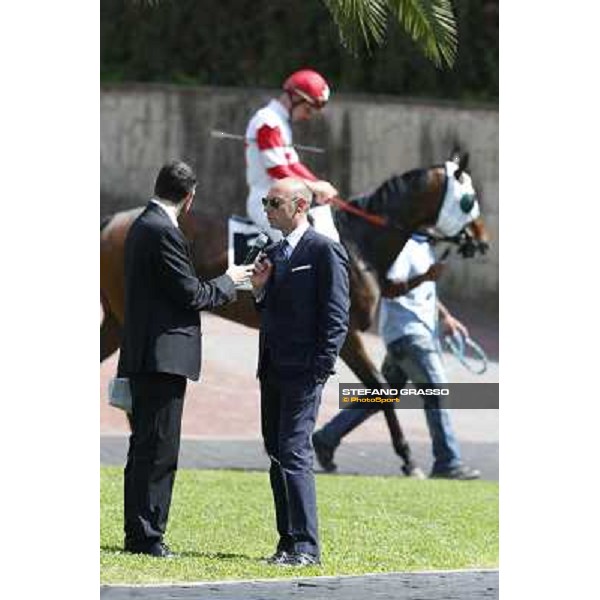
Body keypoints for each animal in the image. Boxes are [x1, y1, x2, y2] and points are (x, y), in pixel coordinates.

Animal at [101, 152, 490, 476]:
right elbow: (379, 387)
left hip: (118, 321)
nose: (483, 241)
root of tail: (115, 220)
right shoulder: (346, 332)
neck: (358, 242)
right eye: (469, 200)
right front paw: (407, 457)